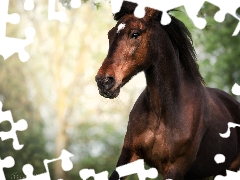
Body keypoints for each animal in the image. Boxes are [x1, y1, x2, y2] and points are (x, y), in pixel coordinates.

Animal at [94, 1, 240, 180]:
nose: (104, 82)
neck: (163, 112)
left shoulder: (176, 168)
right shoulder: (128, 155)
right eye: (110, 35)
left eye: (135, 34)